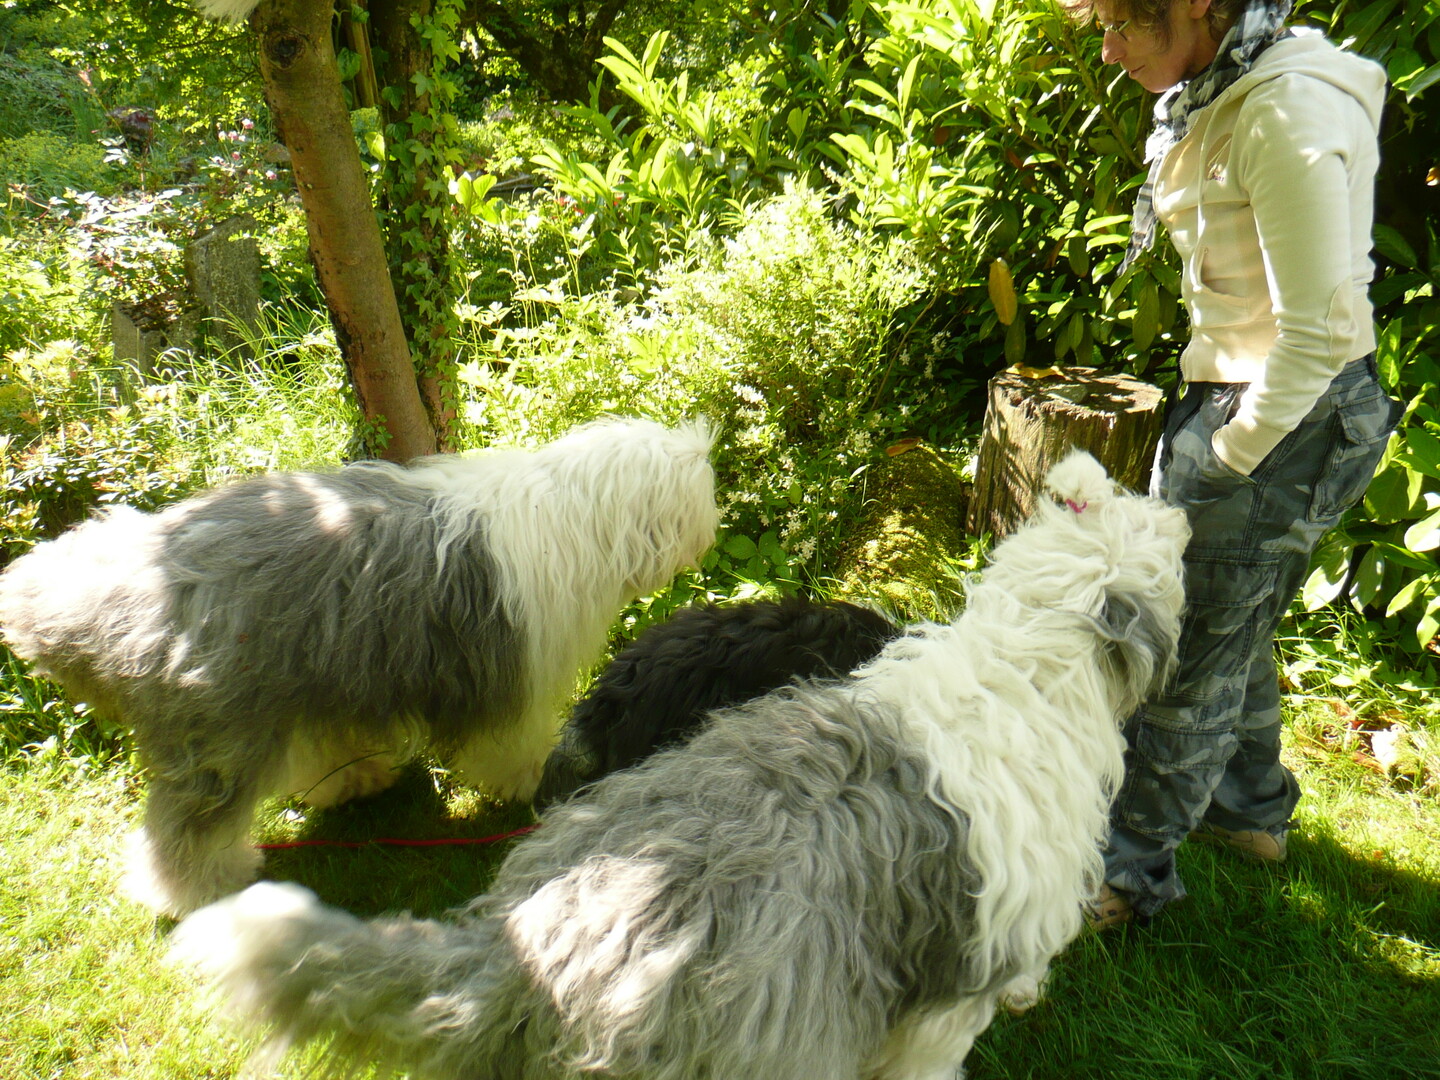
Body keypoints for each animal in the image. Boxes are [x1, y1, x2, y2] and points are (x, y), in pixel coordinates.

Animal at [0, 418, 717, 918]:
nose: (713, 530)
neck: (579, 515)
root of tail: (124, 583)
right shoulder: (508, 674)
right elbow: (509, 741)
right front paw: (526, 781)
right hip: (220, 726)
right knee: (189, 825)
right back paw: (202, 886)